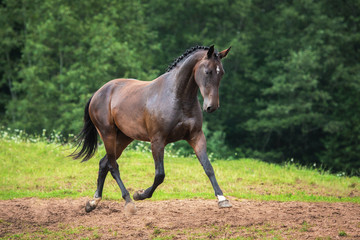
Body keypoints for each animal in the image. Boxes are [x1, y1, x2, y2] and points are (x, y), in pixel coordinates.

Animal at [71, 44, 232, 213]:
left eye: (221, 73)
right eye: (207, 71)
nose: (212, 107)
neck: (177, 97)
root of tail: (98, 93)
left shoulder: (196, 137)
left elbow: (208, 167)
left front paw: (222, 199)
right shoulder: (157, 141)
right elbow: (160, 175)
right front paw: (140, 194)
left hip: (123, 138)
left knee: (104, 163)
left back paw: (93, 202)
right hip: (107, 134)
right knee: (113, 165)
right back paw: (128, 201)